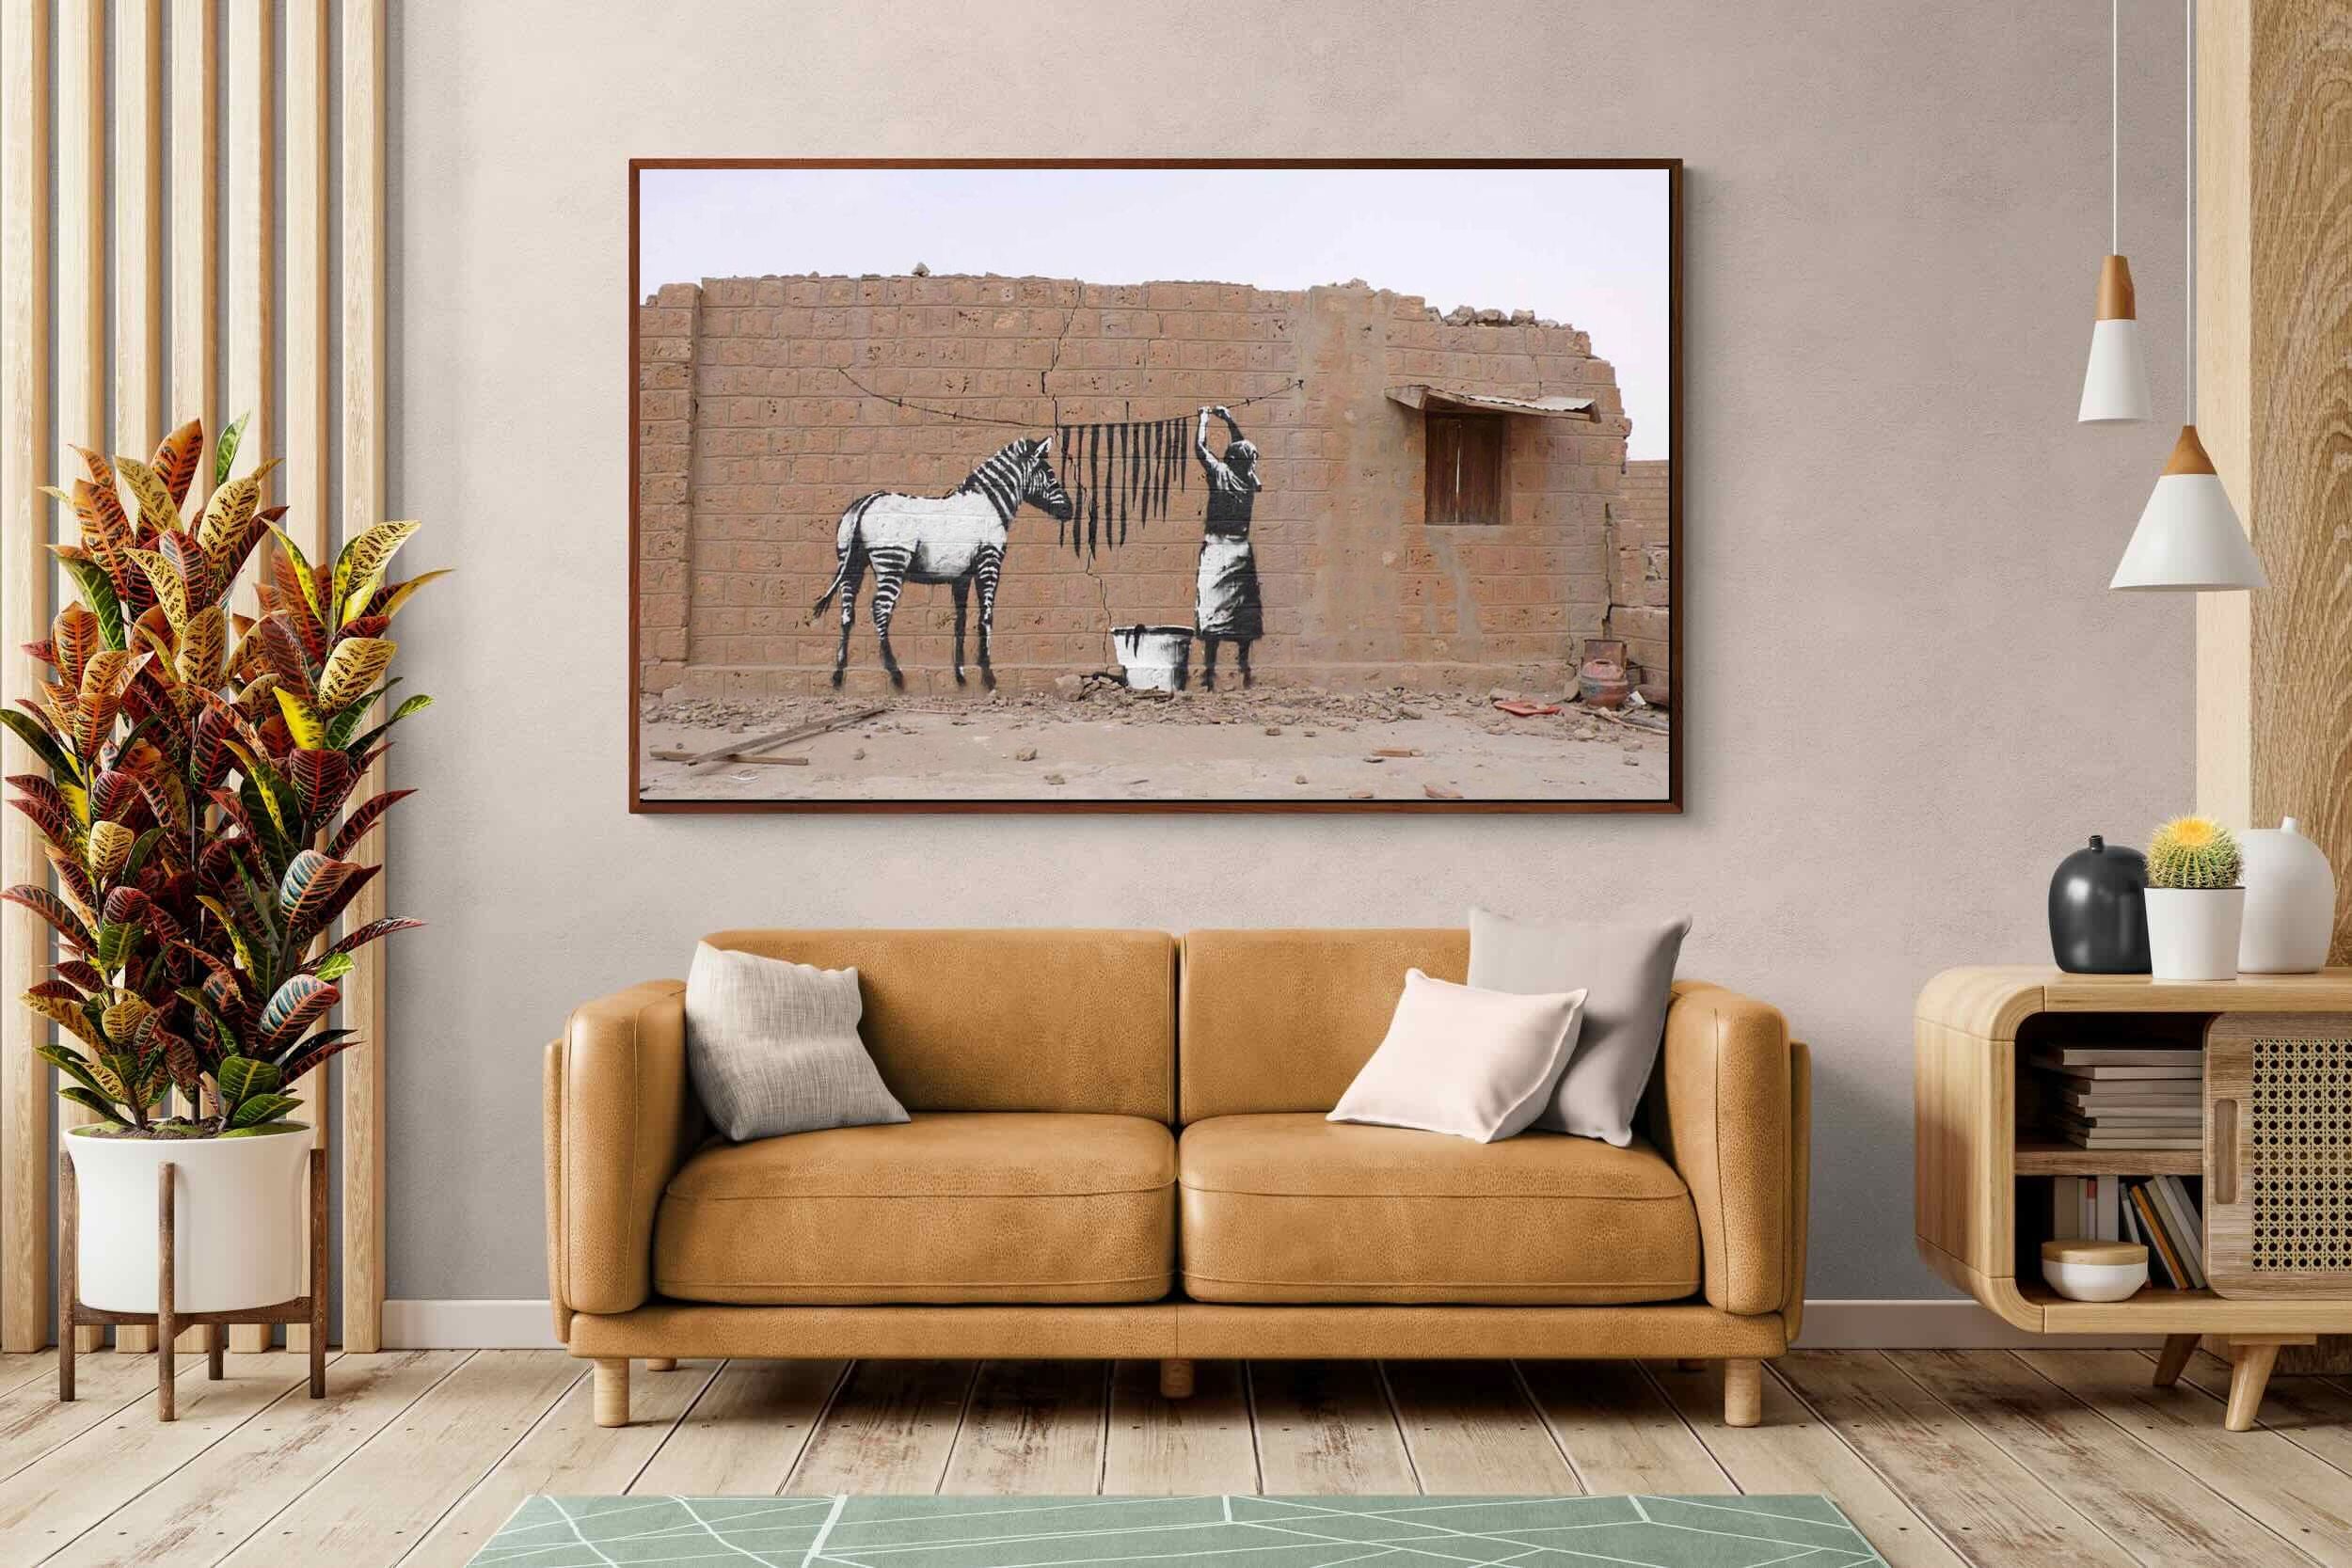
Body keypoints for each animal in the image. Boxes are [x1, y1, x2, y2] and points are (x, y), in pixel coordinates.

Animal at [811, 436, 1074, 690]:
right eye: (1051, 474)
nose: (1069, 510)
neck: (989, 505)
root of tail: (868, 502)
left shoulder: (962, 576)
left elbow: (960, 621)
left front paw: (961, 675)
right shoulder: (989, 562)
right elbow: (985, 617)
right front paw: (988, 675)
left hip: (851, 563)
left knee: (847, 612)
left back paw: (838, 674)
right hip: (892, 561)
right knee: (880, 609)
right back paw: (895, 673)